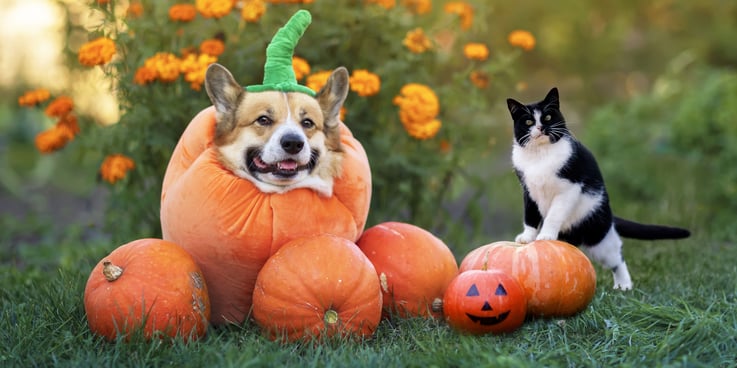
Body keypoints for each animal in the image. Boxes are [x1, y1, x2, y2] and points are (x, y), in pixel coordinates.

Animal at [506, 87, 688, 290]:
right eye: (529, 121)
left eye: (548, 117)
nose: (541, 128)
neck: (540, 155)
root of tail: (610, 215)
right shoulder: (528, 190)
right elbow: (529, 216)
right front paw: (527, 237)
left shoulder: (569, 188)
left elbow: (554, 214)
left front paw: (545, 236)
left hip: (597, 234)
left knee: (616, 257)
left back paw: (624, 285)